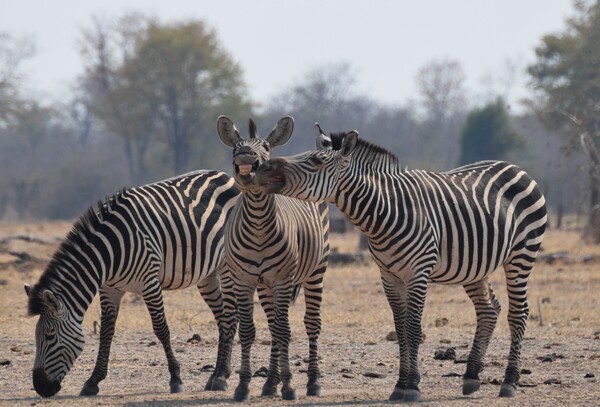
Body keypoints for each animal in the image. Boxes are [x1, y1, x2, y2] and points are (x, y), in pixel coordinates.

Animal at [23, 169, 239, 398]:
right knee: (222, 319)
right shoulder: (109, 289)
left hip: (226, 265)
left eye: (50, 336)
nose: (40, 387)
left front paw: (176, 379)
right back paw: (216, 375)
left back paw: (221, 377)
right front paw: (93, 381)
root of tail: (224, 175)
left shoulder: (149, 283)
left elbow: (161, 329)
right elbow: (106, 332)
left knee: (229, 317)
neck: (109, 253)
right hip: (208, 274)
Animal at [214, 115, 328, 402]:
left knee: (311, 323)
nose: (245, 155)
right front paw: (243, 386)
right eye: (236, 147)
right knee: (273, 324)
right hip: (264, 285)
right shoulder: (243, 280)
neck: (256, 224)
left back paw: (312, 382)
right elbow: (249, 332)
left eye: (265, 147)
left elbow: (285, 331)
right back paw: (269, 384)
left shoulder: (283, 279)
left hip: (316, 270)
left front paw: (289, 386)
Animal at [255, 126, 548, 404]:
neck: (386, 212)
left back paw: (509, 382)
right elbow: (400, 329)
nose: (263, 168)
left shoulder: (418, 272)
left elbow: (413, 329)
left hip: (522, 254)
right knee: (489, 310)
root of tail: (514, 167)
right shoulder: (389, 275)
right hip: (475, 266)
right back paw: (471, 376)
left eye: (315, 161)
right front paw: (399, 385)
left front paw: (413, 387)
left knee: (518, 313)